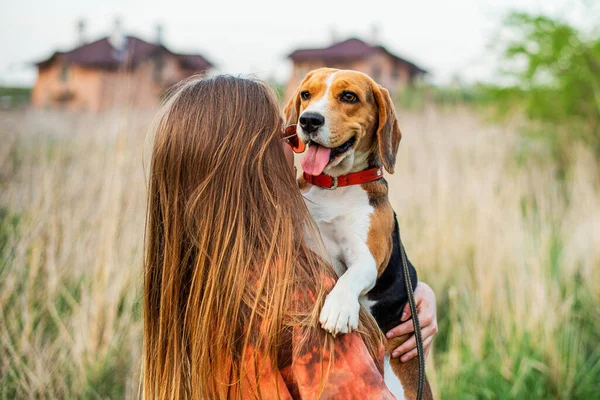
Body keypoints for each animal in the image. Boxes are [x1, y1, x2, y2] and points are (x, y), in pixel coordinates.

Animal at [284, 67, 432, 398]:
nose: (309, 120)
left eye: (349, 97)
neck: (335, 185)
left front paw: (339, 308)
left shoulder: (367, 257)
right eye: (306, 94)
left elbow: (351, 276)